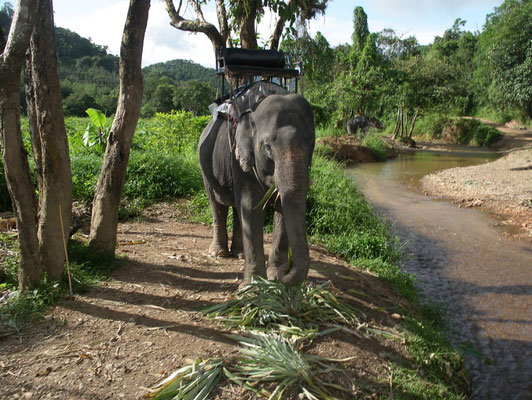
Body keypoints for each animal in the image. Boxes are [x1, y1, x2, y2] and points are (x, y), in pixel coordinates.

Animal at [200, 83, 316, 286]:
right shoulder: (240, 158)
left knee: (237, 209)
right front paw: (253, 285)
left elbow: (281, 208)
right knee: (217, 204)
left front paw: (274, 275)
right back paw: (219, 253)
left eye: (312, 144)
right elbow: (252, 206)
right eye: (268, 147)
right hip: (205, 163)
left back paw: (239, 253)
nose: (286, 269)